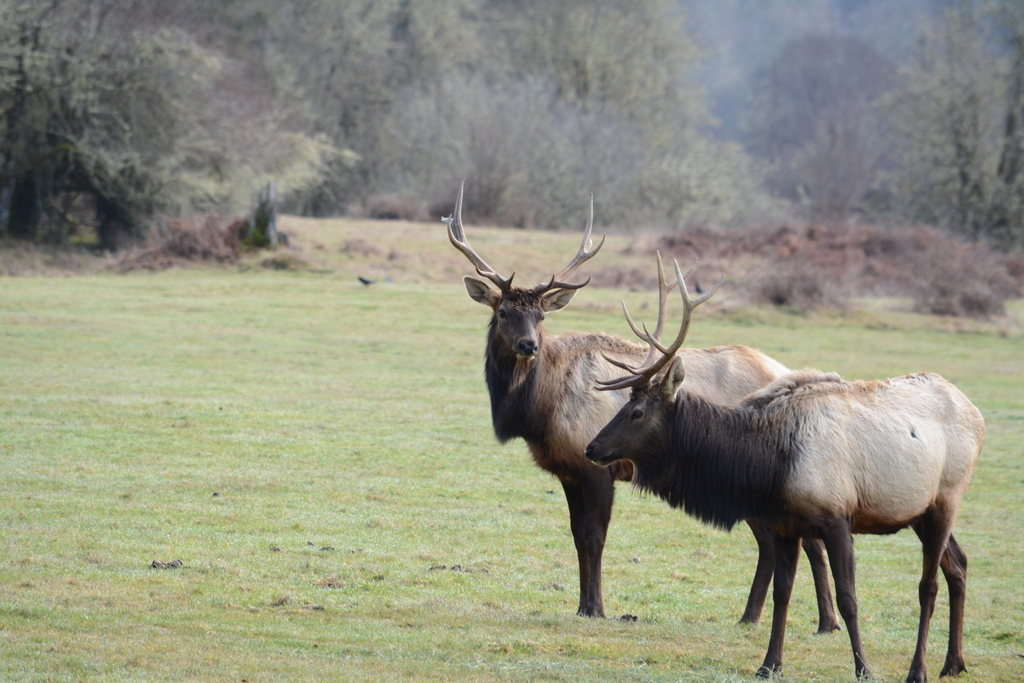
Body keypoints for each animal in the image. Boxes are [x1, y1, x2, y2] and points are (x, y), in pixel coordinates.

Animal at [448, 181, 839, 630]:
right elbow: (576, 536)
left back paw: (822, 622)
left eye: (541, 317)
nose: (528, 345)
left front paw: (597, 607)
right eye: (504, 311)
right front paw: (581, 605)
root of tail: (789, 373)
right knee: (778, 543)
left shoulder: (595, 467)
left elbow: (594, 537)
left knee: (802, 541)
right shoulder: (567, 469)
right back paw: (756, 617)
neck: (540, 409)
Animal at [589, 259, 987, 679]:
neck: (769, 466)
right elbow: (783, 593)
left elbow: (848, 599)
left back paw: (919, 669)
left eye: (636, 412)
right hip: (920, 512)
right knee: (958, 565)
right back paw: (954, 663)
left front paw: (863, 668)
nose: (592, 447)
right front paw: (769, 664)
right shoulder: (784, 524)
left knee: (929, 585)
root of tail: (977, 414)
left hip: (947, 498)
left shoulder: (837, 517)